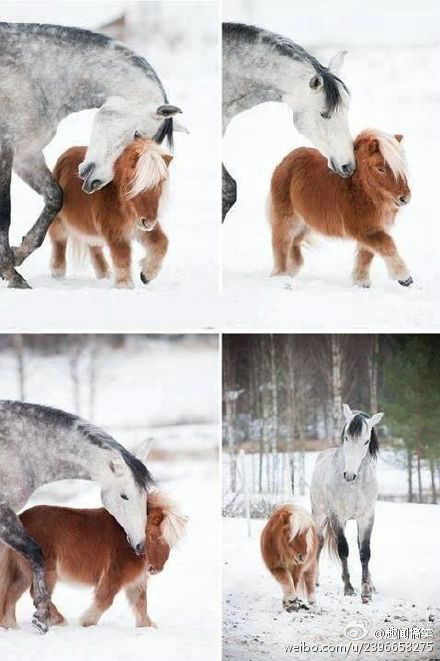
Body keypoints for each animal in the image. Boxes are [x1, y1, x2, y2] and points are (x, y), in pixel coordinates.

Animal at [0, 400, 153, 633]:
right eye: (124, 495)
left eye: (146, 496)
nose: (140, 545)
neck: (20, 449)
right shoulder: (4, 515)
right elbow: (35, 553)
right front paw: (42, 615)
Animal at [0, 489, 187, 629]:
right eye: (154, 537)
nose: (156, 568)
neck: (128, 538)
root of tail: (21, 518)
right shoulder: (114, 574)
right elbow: (105, 600)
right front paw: (87, 621)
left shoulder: (136, 581)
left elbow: (141, 604)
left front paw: (147, 626)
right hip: (45, 570)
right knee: (36, 593)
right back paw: (59, 621)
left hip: (24, 572)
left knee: (12, 593)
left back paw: (11, 626)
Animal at [49, 139, 172, 288]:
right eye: (135, 182)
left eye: (160, 183)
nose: (148, 222)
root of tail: (66, 154)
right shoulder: (116, 232)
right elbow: (122, 257)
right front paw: (124, 285)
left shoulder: (140, 228)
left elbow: (162, 243)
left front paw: (146, 275)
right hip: (59, 221)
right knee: (59, 241)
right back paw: (58, 271)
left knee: (94, 247)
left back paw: (105, 274)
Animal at [269, 130, 413, 287]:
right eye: (380, 169)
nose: (405, 198)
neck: (360, 188)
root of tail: (287, 159)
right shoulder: (364, 230)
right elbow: (387, 244)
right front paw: (404, 276)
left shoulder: (373, 228)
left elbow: (366, 255)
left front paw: (361, 281)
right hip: (288, 220)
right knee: (282, 245)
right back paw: (281, 276)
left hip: (306, 224)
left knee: (294, 244)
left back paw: (292, 271)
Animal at [310, 404, 383, 603]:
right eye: (346, 437)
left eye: (366, 441)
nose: (349, 475)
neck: (353, 486)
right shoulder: (337, 518)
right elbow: (343, 549)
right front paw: (349, 588)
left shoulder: (367, 518)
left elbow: (364, 551)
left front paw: (366, 591)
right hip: (319, 515)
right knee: (318, 542)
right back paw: (315, 580)